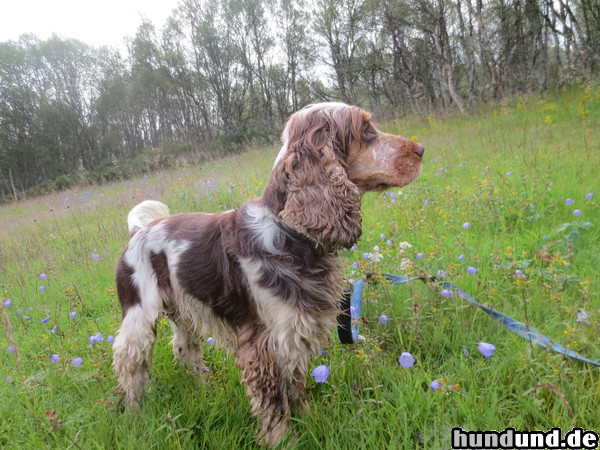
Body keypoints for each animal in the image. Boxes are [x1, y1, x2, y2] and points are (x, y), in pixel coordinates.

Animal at [111, 103, 422, 446]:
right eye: (366, 131)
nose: (421, 149)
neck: (290, 233)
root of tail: (140, 230)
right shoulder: (263, 347)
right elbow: (274, 410)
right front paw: (284, 441)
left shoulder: (295, 333)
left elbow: (297, 388)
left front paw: (309, 420)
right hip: (138, 317)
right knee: (129, 362)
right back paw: (135, 415)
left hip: (184, 308)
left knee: (184, 347)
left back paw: (204, 385)